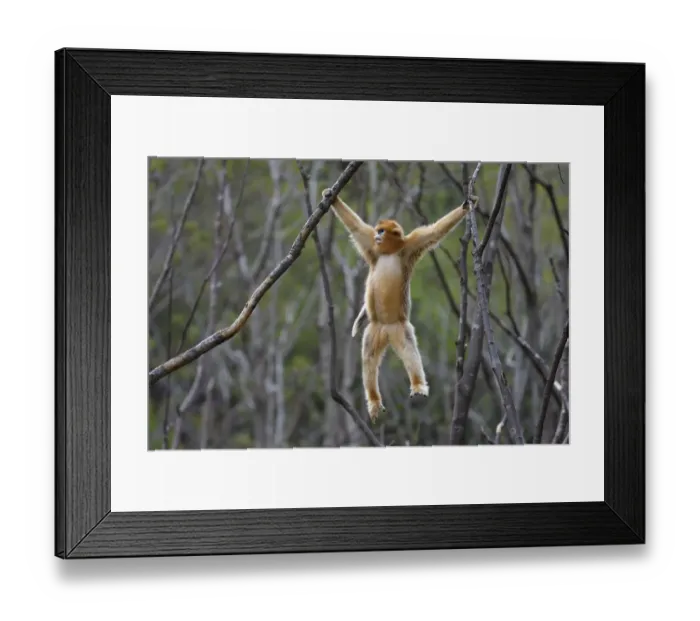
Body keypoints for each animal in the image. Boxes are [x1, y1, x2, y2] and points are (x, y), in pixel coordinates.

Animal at [322, 187, 476, 423]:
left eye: (382, 231)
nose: (377, 235)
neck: (388, 252)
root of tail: (387, 330)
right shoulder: (373, 248)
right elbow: (356, 226)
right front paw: (332, 197)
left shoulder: (411, 245)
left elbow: (434, 231)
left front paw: (466, 207)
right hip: (375, 330)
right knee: (369, 358)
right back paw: (374, 400)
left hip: (400, 328)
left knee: (409, 350)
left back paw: (418, 386)